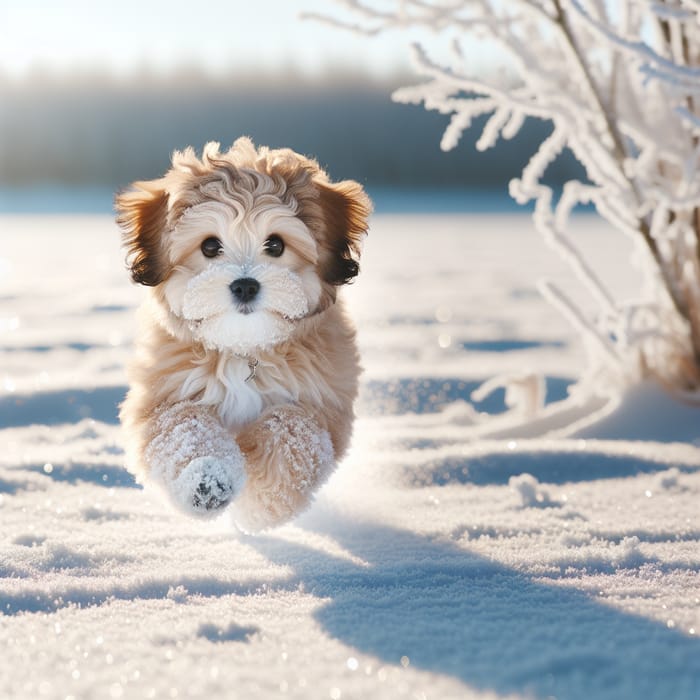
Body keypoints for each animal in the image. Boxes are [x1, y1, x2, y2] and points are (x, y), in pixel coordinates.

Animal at [115, 137, 372, 532]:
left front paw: (259, 508)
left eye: (276, 245)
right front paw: (207, 479)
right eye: (210, 246)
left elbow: (293, 431)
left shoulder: (324, 402)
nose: (245, 286)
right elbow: (183, 426)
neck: (243, 347)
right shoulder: (163, 395)